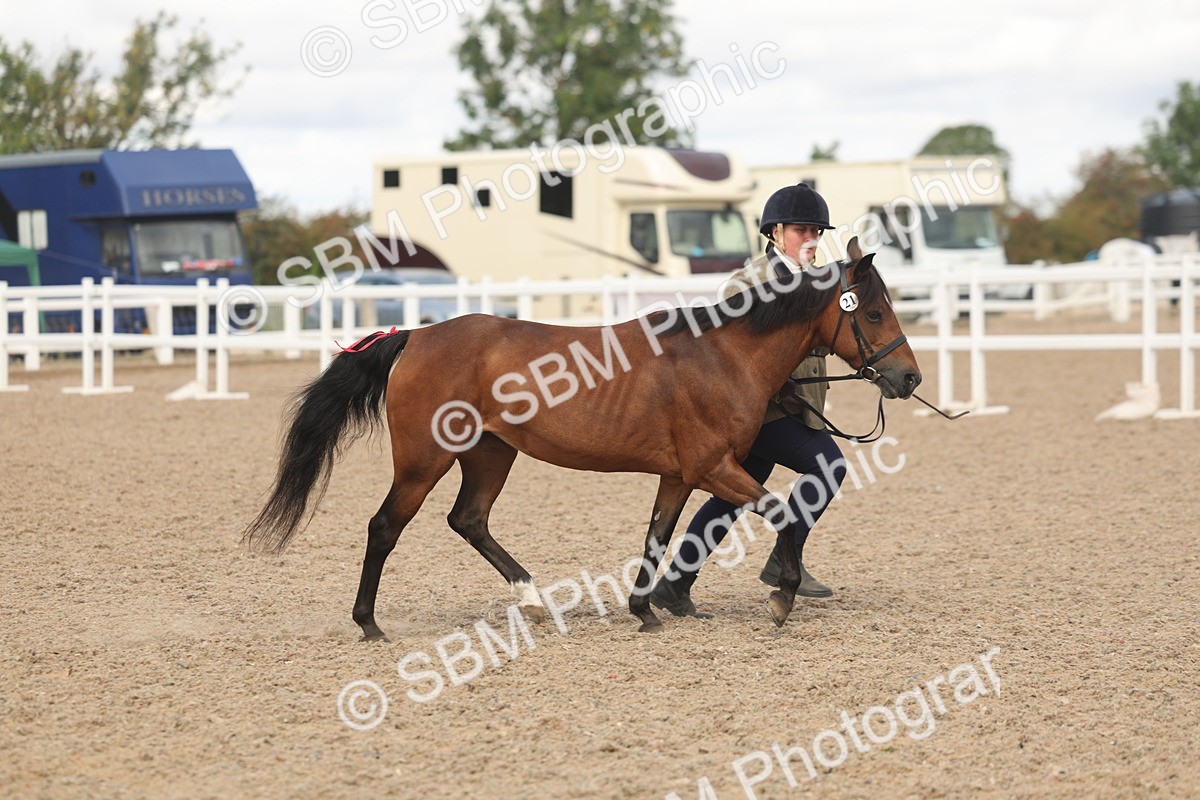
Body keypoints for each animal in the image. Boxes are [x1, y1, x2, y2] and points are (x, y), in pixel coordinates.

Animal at [242, 238, 922, 639]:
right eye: (873, 311)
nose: (909, 377)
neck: (721, 355)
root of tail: (417, 334)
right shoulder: (711, 467)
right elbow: (781, 511)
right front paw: (782, 593)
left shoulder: (678, 474)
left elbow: (658, 536)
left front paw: (645, 610)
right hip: (423, 460)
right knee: (385, 527)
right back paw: (370, 625)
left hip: (491, 453)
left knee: (469, 520)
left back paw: (533, 599)